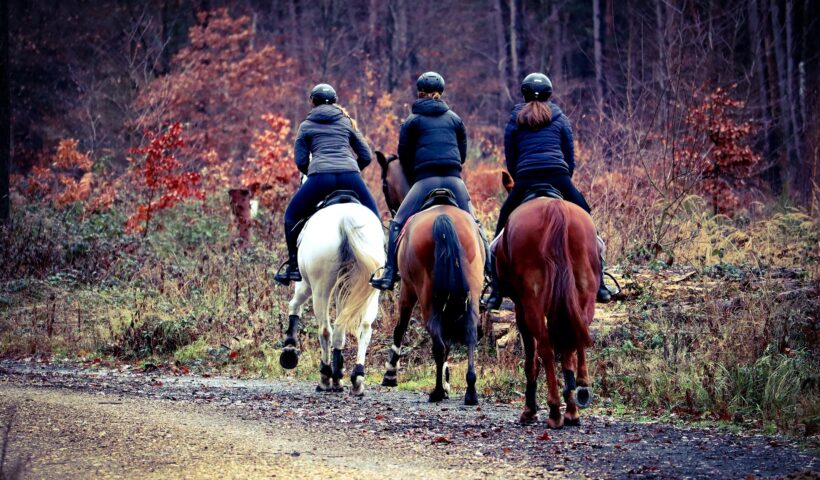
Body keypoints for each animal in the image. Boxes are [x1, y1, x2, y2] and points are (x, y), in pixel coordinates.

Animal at [280, 202, 386, 394]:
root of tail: (345, 219)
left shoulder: (305, 283)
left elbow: (294, 305)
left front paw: (289, 350)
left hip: (320, 289)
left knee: (325, 330)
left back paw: (325, 378)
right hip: (371, 289)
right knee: (363, 328)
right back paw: (355, 378)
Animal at [374, 152, 484, 404]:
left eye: (384, 185)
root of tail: (443, 217)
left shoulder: (407, 289)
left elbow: (400, 327)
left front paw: (390, 374)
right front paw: (448, 378)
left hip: (426, 296)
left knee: (437, 339)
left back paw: (437, 392)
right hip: (470, 293)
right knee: (468, 334)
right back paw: (470, 390)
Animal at [494, 172, 596, 428]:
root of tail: (554, 208)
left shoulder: (520, 308)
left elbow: (531, 359)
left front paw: (529, 410)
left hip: (532, 302)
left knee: (546, 348)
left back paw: (554, 411)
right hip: (584, 292)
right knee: (573, 340)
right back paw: (573, 406)